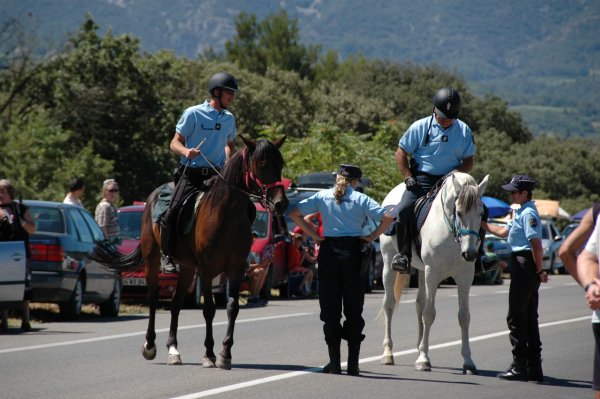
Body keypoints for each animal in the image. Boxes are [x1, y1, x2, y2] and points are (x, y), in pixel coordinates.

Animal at [93, 136, 288, 370]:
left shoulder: (236, 269)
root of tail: (152, 196)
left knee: (176, 303)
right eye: (262, 163)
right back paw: (150, 345)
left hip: (186, 267)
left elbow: (232, 307)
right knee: (152, 299)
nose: (281, 203)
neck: (226, 216)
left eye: (280, 164)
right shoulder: (206, 271)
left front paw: (225, 353)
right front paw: (209, 354)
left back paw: (173, 350)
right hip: (153, 259)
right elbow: (209, 310)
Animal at [380, 172, 488, 376]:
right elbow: (429, 314)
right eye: (459, 212)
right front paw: (423, 360)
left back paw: (418, 346)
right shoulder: (433, 273)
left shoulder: (465, 276)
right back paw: (388, 354)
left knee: (419, 303)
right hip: (389, 264)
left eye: (481, 214)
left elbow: (464, 316)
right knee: (389, 305)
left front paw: (468, 362)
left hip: (422, 271)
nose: (470, 254)